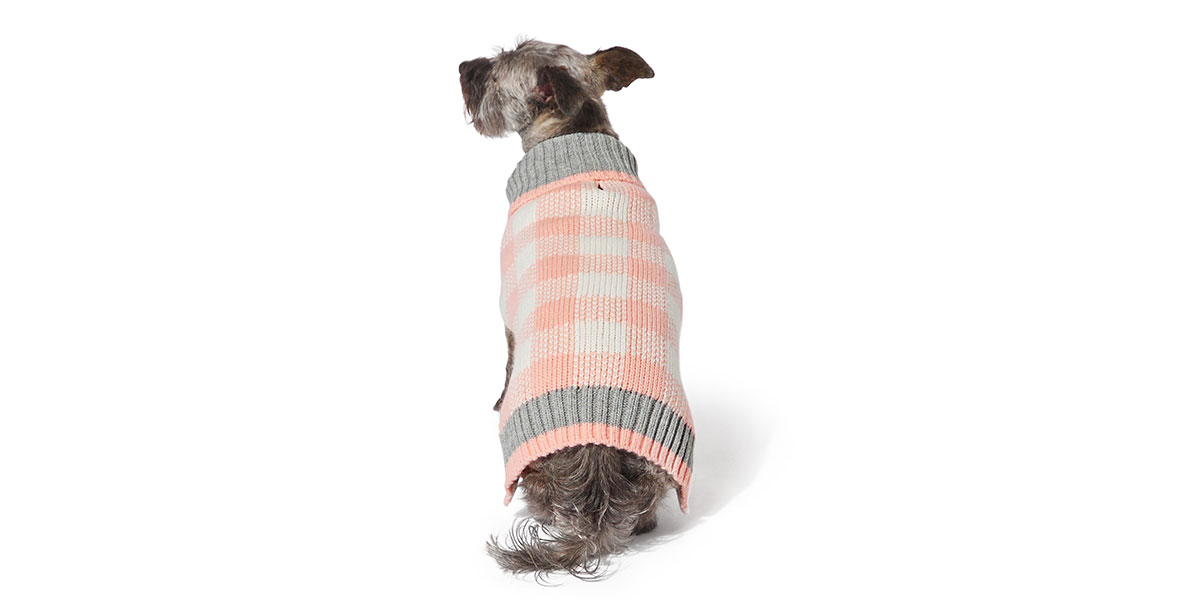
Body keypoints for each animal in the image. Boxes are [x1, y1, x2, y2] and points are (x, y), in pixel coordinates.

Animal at [459, 39, 695, 578]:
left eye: (496, 70)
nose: (463, 66)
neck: (576, 135)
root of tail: (596, 503)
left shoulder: (507, 316)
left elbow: (504, 365)